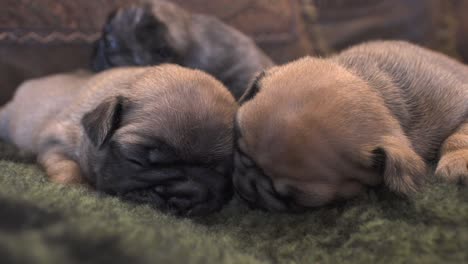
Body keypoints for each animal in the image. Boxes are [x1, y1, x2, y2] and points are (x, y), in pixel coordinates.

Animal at [0, 64, 238, 217]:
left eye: (221, 173)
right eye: (136, 160)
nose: (185, 191)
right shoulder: (55, 143)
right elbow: (68, 167)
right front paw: (77, 188)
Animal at [234, 40, 468, 211]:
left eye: (290, 199)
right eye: (240, 153)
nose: (246, 191)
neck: (375, 88)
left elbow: (456, 137)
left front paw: (457, 162)